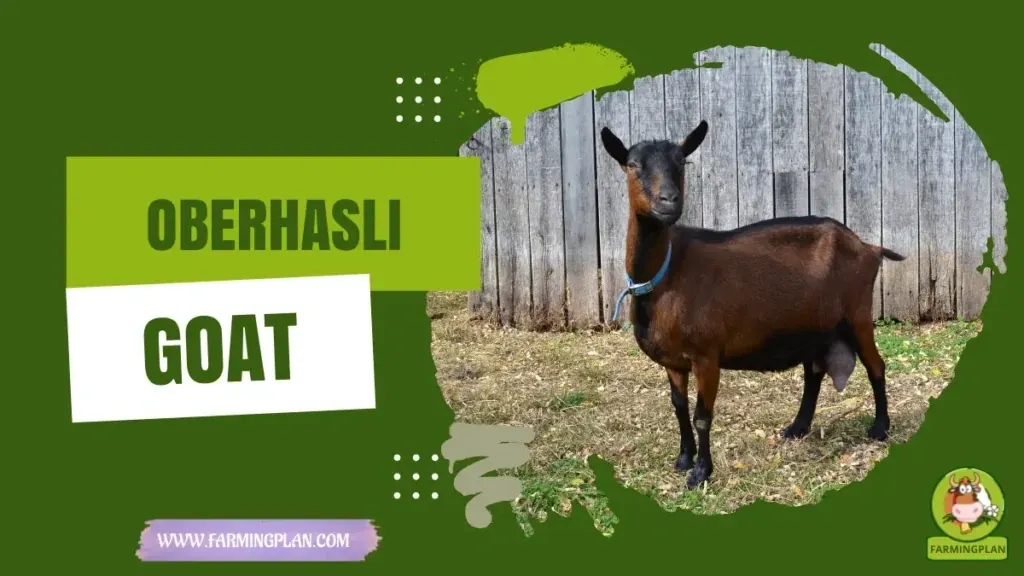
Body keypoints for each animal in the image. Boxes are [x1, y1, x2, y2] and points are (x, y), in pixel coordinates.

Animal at [599, 120, 906, 489]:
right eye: (632, 165)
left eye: (682, 162)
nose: (669, 200)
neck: (665, 274)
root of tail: (868, 247)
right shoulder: (674, 362)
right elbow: (678, 408)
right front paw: (683, 460)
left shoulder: (706, 355)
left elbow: (702, 416)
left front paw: (701, 473)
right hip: (814, 326)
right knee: (814, 373)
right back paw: (797, 428)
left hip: (858, 313)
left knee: (876, 366)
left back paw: (879, 428)